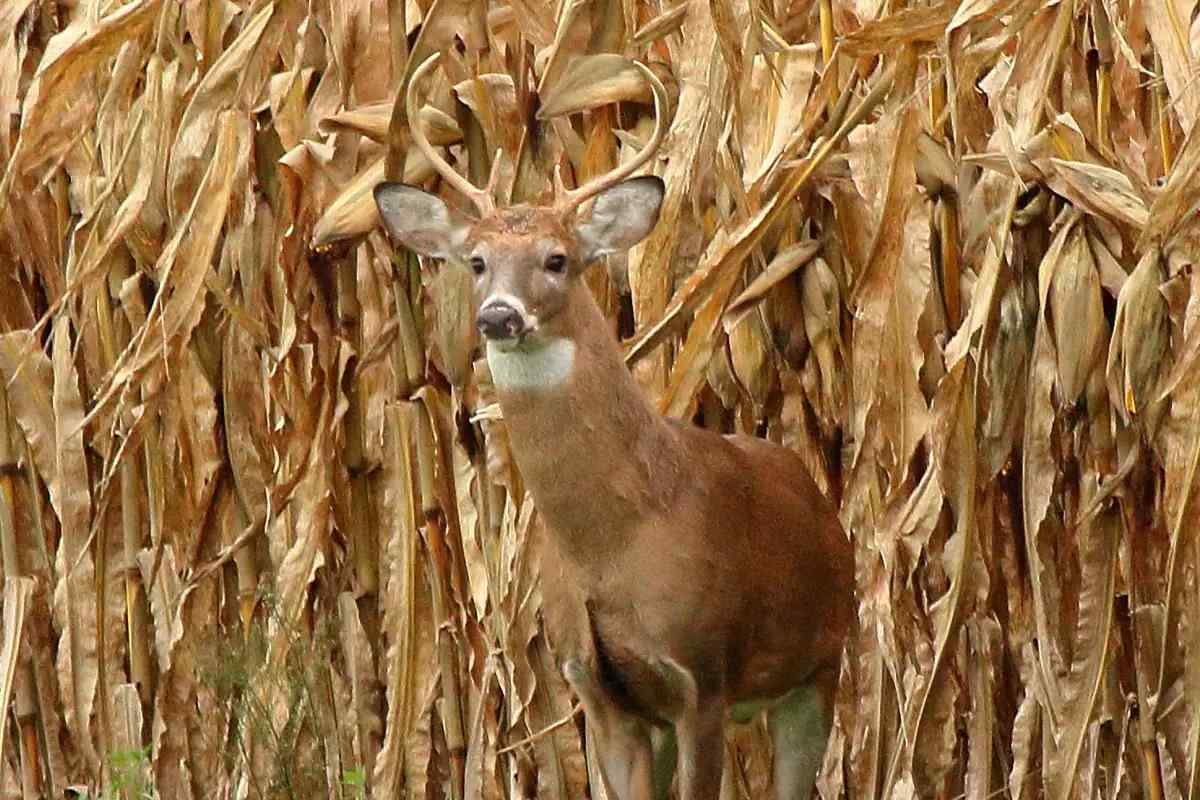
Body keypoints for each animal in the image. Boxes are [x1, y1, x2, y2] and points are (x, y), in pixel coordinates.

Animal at [374, 52, 855, 800]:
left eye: (557, 259)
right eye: (476, 262)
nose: (499, 316)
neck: (614, 541)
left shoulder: (702, 675)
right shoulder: (600, 692)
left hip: (820, 662)